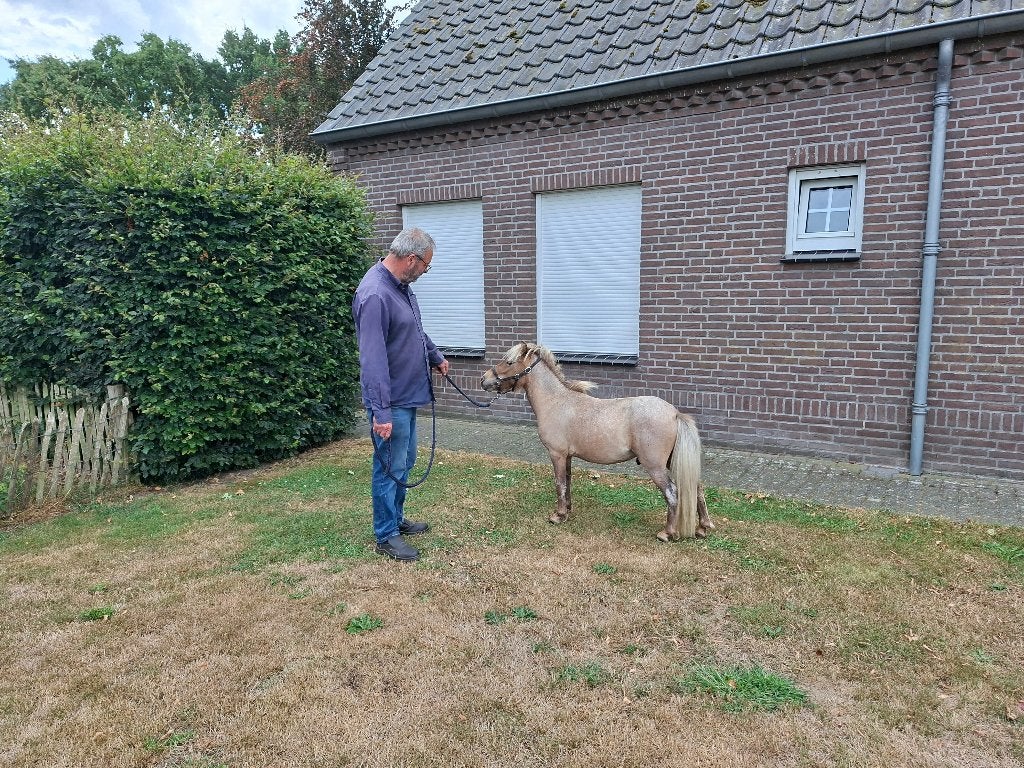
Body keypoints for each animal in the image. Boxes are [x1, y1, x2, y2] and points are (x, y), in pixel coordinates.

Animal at [480, 342, 713, 540]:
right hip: (672, 461)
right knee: (696, 489)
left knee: (673, 494)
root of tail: (674, 413)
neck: (556, 402)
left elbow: (559, 483)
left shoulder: (556, 454)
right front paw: (567, 511)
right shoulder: (567, 457)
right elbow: (567, 482)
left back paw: (667, 533)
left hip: (655, 466)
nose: (484, 379)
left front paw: (558, 516)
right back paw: (703, 528)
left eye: (509, 362)